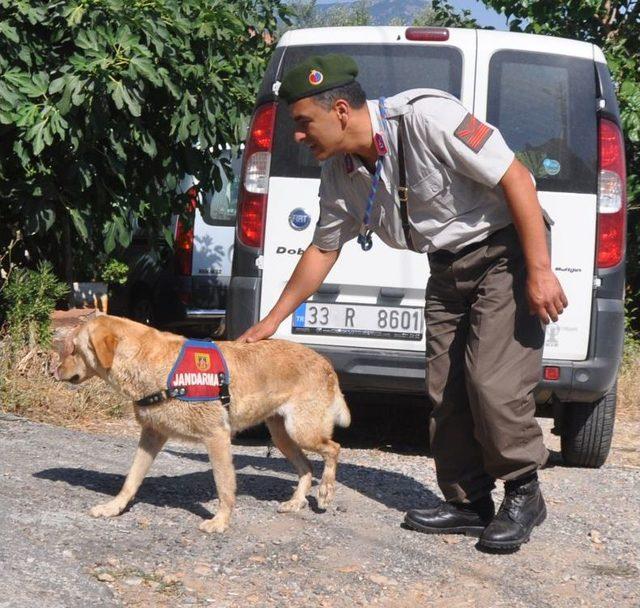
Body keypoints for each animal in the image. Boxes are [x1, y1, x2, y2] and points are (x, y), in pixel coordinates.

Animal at [55, 316, 352, 536]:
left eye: (73, 349)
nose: (53, 371)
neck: (155, 363)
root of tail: (325, 362)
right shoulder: (152, 436)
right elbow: (131, 480)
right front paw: (113, 508)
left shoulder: (217, 437)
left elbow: (224, 486)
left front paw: (221, 521)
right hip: (282, 435)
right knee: (307, 466)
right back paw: (296, 501)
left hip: (302, 431)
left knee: (333, 448)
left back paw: (325, 491)